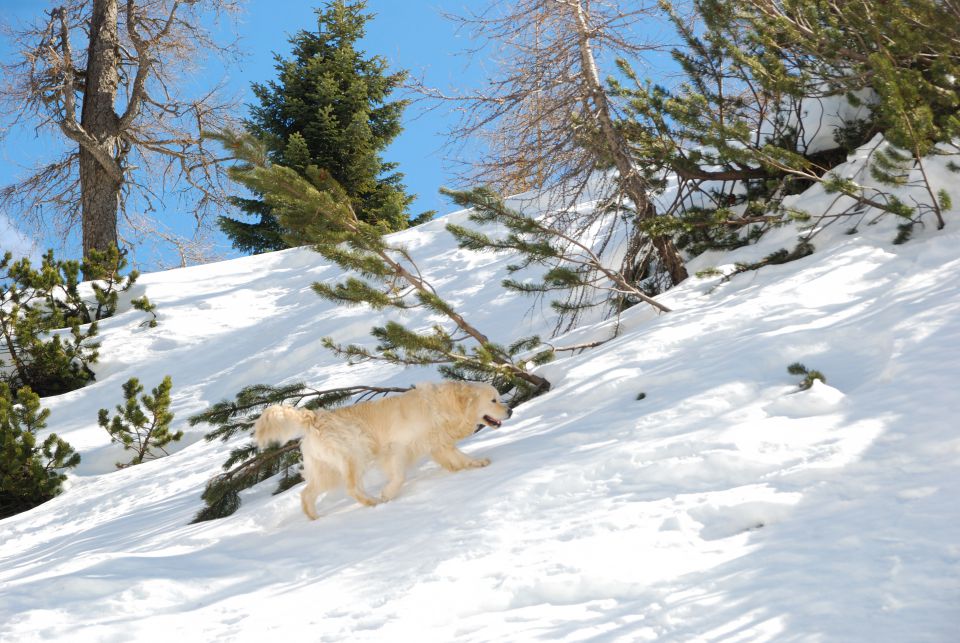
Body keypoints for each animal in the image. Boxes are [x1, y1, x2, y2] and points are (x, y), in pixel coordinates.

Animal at [253, 380, 510, 520]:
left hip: (326, 470)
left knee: (306, 494)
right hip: (355, 455)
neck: (444, 405)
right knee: (352, 488)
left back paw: (316, 518)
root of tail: (314, 417)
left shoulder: (437, 442)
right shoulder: (396, 448)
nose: (510, 411)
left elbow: (458, 456)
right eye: (494, 400)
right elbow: (399, 475)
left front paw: (477, 463)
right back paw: (374, 502)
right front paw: (388, 493)